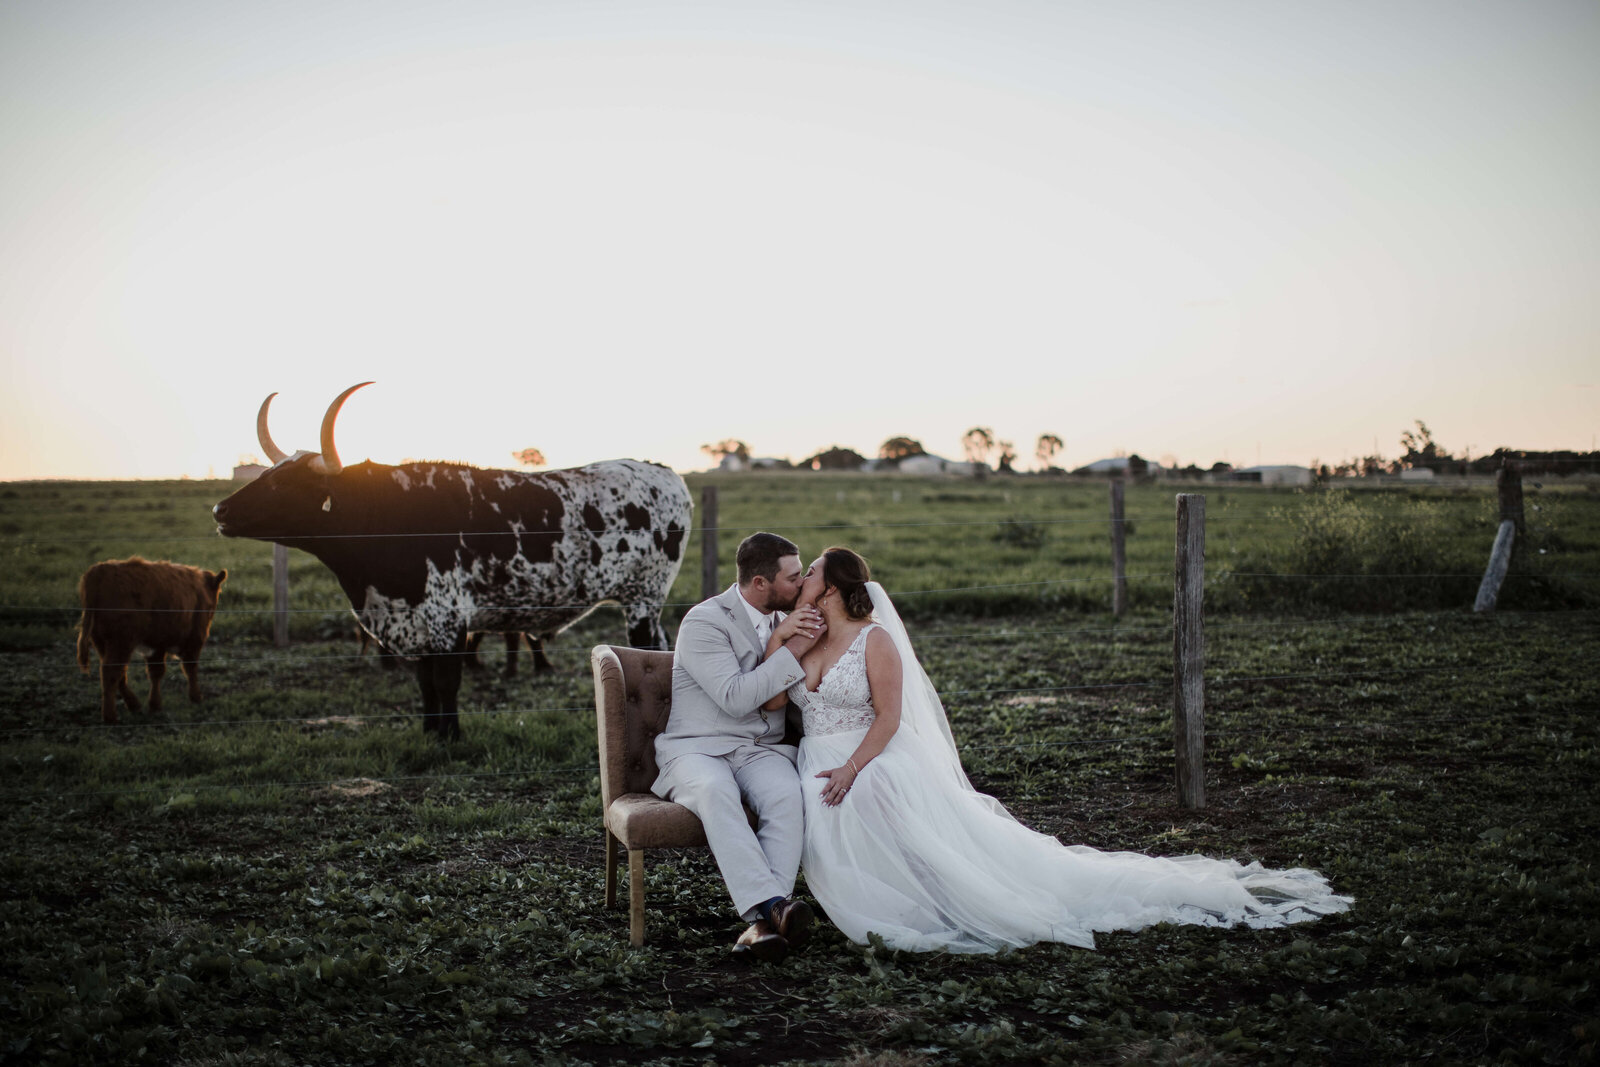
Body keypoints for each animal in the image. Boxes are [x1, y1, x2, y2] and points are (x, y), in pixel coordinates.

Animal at [76, 559, 228, 726]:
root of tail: (98, 572)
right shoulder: (194, 639)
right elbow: (189, 668)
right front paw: (195, 697)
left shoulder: (156, 645)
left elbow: (155, 672)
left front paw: (155, 705)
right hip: (121, 643)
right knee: (111, 672)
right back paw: (111, 717)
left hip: (102, 643)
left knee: (118, 673)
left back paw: (133, 705)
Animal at [212, 385, 688, 742]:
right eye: (266, 475)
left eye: (287, 484)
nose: (219, 510)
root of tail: (661, 470)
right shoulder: (413, 621)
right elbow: (425, 682)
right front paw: (430, 733)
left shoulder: (448, 618)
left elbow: (446, 681)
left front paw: (452, 736)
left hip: (642, 599)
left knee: (649, 651)